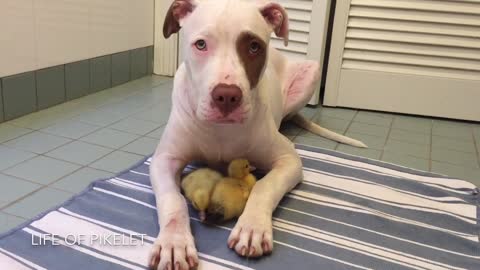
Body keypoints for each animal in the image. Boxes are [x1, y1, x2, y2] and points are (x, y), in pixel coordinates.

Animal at [148, 1, 366, 268]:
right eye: (201, 44)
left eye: (254, 47)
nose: (227, 96)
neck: (221, 130)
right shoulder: (163, 160)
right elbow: (172, 200)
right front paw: (173, 242)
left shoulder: (288, 160)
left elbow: (264, 186)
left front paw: (252, 228)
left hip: (311, 72)